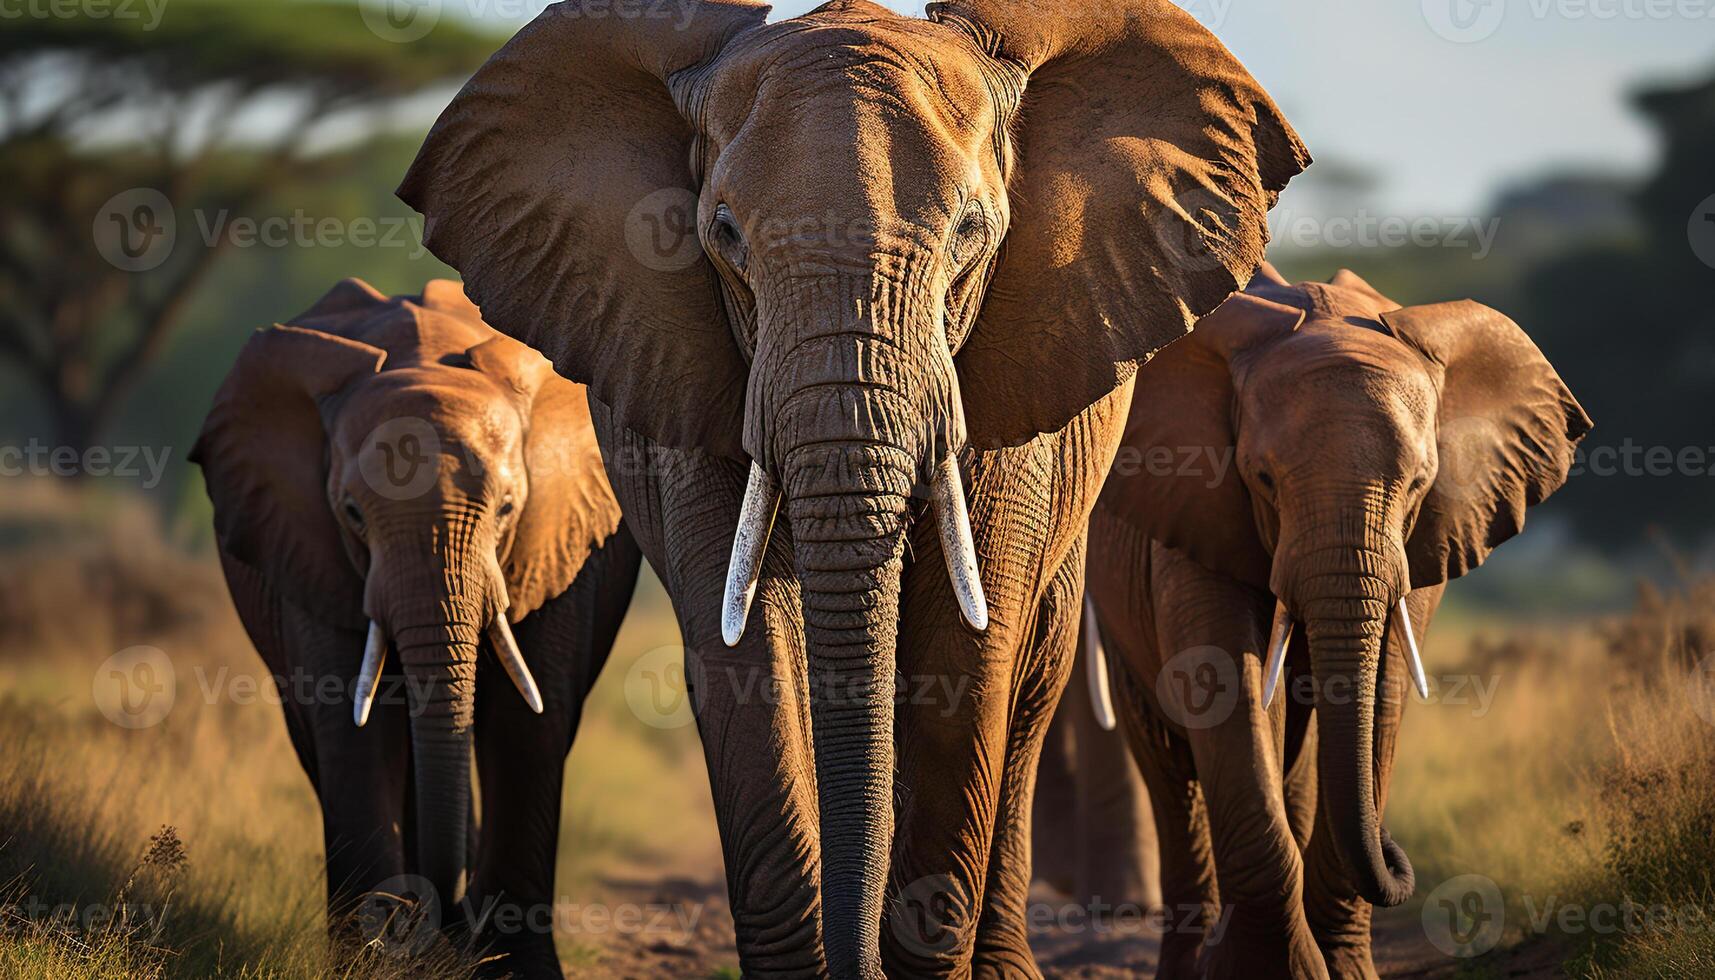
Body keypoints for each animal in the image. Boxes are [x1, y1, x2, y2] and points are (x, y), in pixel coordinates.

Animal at [189, 279, 644, 974]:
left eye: (508, 507)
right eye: (352, 512)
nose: (446, 916)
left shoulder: (559, 543)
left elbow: (526, 718)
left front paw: (509, 965)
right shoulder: (310, 548)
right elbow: (349, 722)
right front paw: (372, 959)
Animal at [1077, 264, 1584, 974]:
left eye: (1420, 483)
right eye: (1262, 477)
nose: (1398, 854)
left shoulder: (1424, 541)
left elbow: (1385, 690)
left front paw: (1339, 970)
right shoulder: (1192, 506)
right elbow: (1221, 678)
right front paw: (1267, 971)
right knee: (1167, 762)